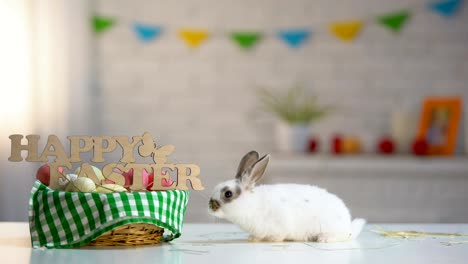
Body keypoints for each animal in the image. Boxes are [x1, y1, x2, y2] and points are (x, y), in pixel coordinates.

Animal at [208, 151, 366, 243]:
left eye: (228, 193)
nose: (210, 206)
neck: (250, 204)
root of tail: (348, 224)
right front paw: (252, 239)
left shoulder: (280, 223)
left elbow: (279, 235)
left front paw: (272, 240)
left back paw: (322, 239)